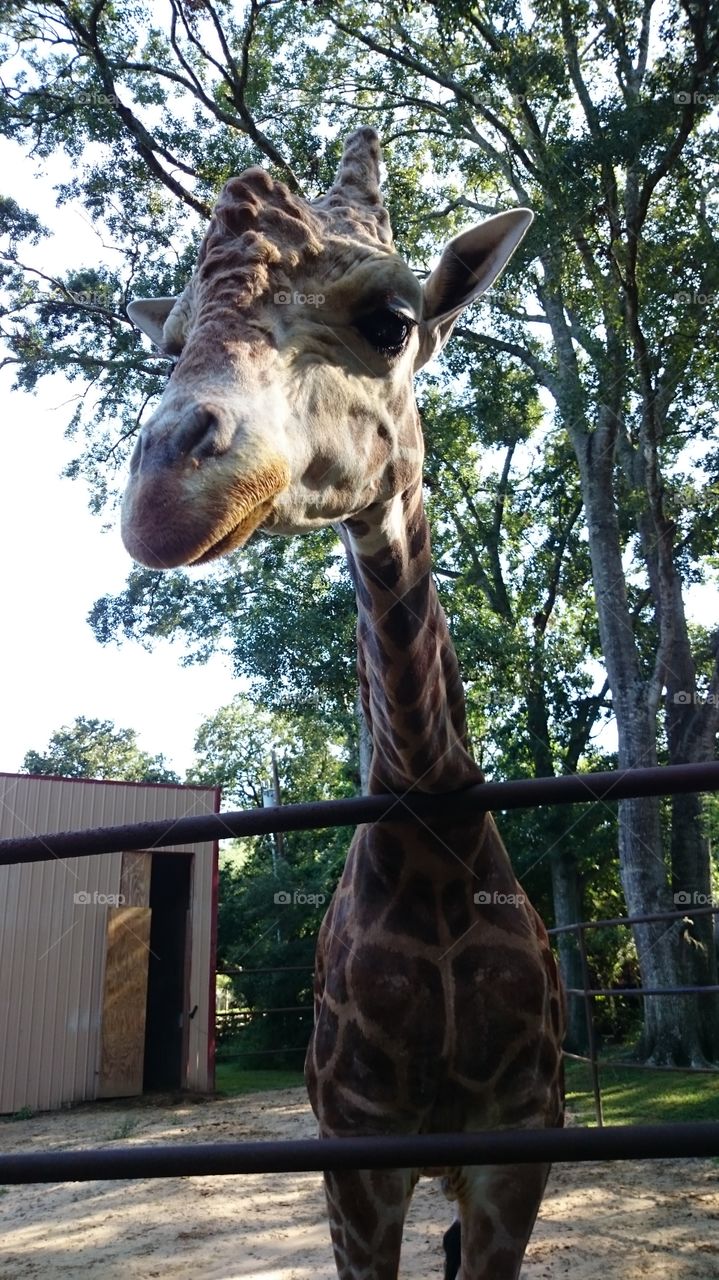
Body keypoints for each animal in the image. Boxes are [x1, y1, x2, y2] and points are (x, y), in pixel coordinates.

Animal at [121, 127, 565, 1280]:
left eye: (392, 321)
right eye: (170, 341)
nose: (161, 497)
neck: (430, 843)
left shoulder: (515, 1152)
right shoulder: (355, 1161)